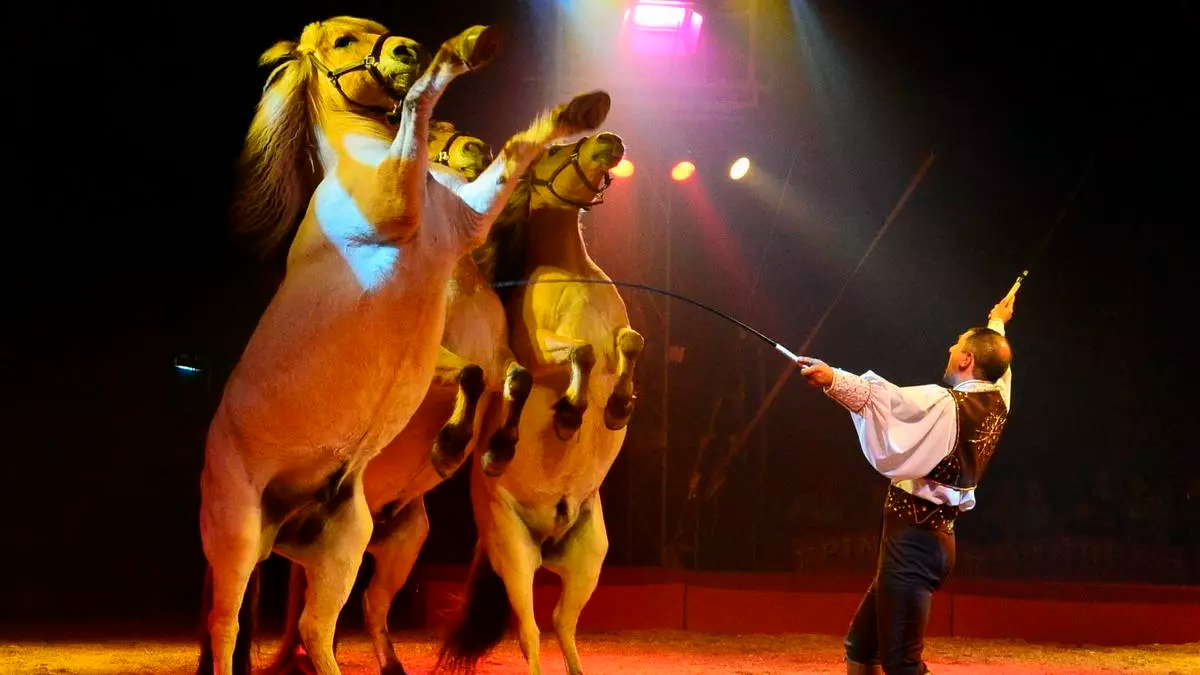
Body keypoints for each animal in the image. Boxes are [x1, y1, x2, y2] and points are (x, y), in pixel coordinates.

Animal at [266, 123, 533, 675]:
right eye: (442, 140)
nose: (477, 152)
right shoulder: (427, 366)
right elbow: (469, 374)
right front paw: (449, 446)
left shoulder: (501, 357)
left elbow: (515, 379)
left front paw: (497, 451)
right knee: (307, 612)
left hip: (403, 544)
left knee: (368, 605)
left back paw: (390, 665)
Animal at [436, 131, 645, 675]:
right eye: (553, 151)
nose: (611, 140)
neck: (572, 274)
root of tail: (548, 541)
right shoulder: (540, 351)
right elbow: (582, 351)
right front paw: (571, 415)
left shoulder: (621, 336)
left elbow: (629, 342)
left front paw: (618, 407)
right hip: (515, 558)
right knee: (529, 631)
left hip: (589, 560)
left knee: (561, 625)